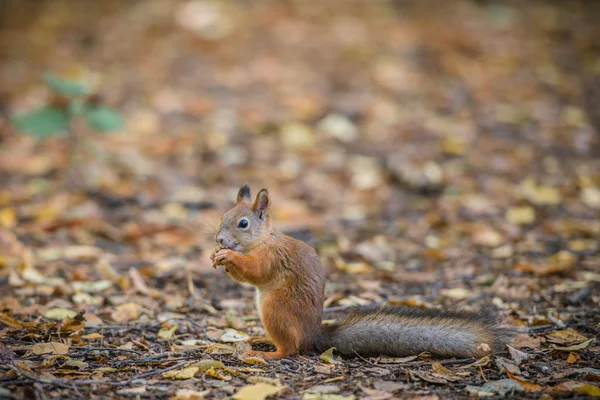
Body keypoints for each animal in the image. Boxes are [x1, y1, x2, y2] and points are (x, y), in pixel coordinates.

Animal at [210, 186, 510, 360]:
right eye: (222, 217)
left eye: (243, 223)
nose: (219, 239)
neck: (264, 240)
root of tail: (313, 335)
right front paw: (216, 256)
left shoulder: (273, 258)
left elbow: (257, 272)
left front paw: (228, 256)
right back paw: (261, 339)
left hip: (275, 308)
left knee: (291, 349)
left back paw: (266, 353)